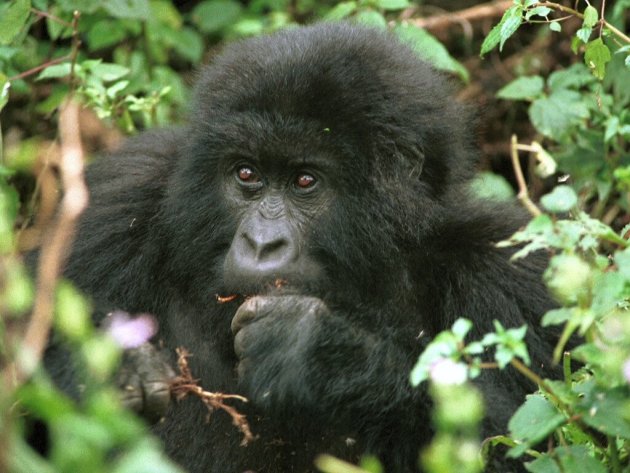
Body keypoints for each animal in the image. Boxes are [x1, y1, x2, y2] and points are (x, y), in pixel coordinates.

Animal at [45, 22, 556, 472]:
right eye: (246, 173)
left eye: (305, 181)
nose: (260, 243)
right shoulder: (119, 197)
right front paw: (120, 367)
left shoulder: (507, 269)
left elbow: (525, 438)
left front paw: (318, 353)